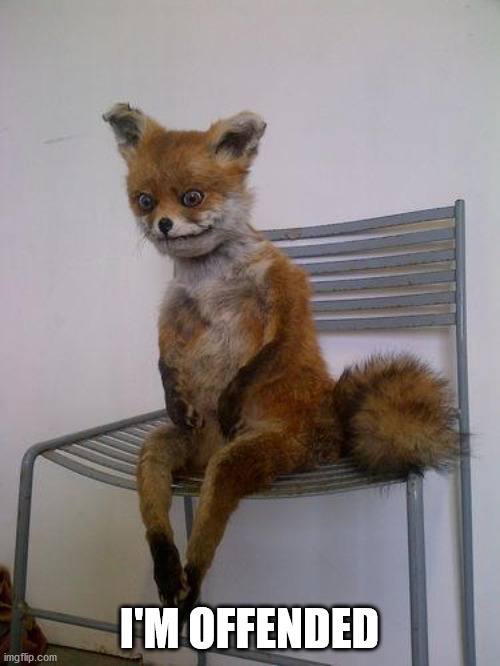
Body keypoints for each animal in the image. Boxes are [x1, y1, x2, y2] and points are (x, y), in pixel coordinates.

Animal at [103, 103, 456, 621]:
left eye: (191, 197)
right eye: (145, 201)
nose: (163, 225)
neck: (211, 282)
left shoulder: (284, 296)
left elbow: (265, 357)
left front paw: (230, 395)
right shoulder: (173, 314)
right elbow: (165, 360)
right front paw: (173, 393)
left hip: (243, 458)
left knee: (210, 520)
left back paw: (193, 577)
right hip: (162, 450)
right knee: (155, 509)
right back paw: (168, 569)